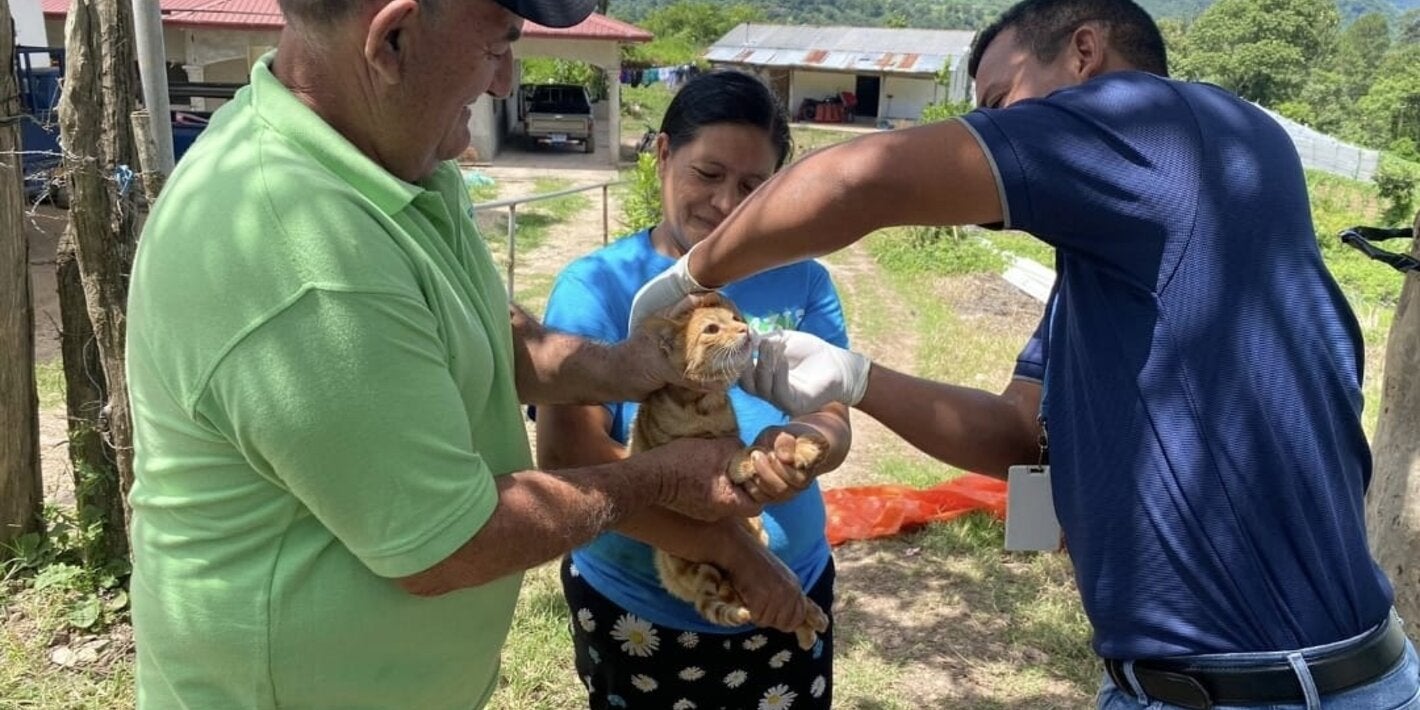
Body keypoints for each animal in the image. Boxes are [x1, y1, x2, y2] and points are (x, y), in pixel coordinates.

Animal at [633, 292, 829, 650]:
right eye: (712, 328)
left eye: (736, 319)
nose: (745, 329)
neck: (705, 404)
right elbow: (742, 454)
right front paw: (745, 462)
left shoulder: (731, 436)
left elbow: (764, 445)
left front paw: (801, 448)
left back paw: (810, 621)